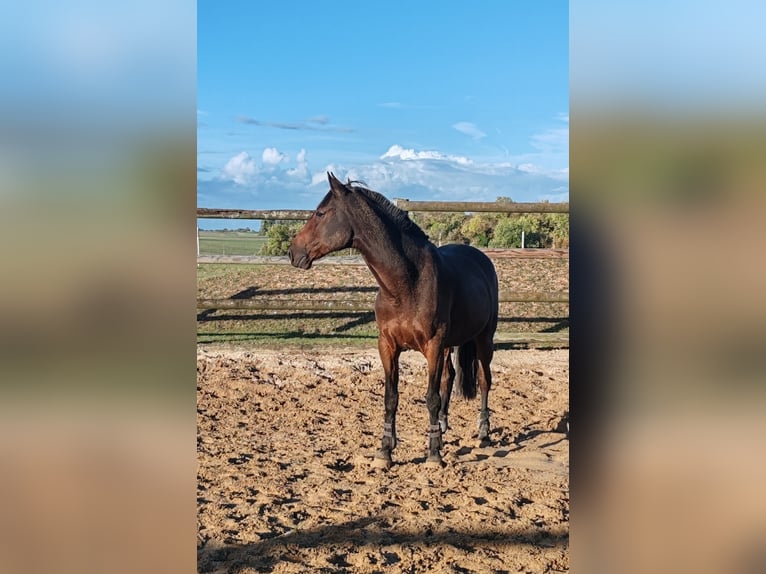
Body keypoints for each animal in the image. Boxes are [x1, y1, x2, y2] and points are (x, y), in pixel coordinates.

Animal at [286, 173, 498, 470]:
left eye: (320, 213)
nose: (293, 252)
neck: (406, 283)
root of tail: (481, 259)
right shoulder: (387, 345)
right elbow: (391, 397)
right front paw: (385, 451)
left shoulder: (433, 346)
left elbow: (431, 398)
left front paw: (434, 454)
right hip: (450, 345)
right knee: (449, 377)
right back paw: (444, 428)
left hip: (483, 340)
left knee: (483, 380)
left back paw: (484, 433)